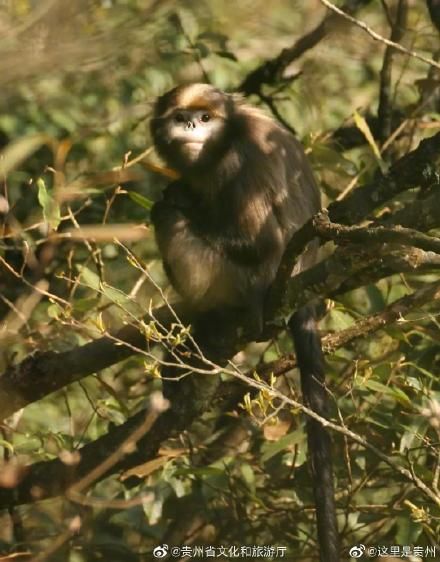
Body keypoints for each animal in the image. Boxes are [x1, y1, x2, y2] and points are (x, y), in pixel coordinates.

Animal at [150, 83, 338, 560]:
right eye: (181, 117)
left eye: (204, 117)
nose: (191, 125)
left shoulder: (238, 159)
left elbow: (258, 241)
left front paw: (177, 195)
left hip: (240, 281)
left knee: (169, 216)